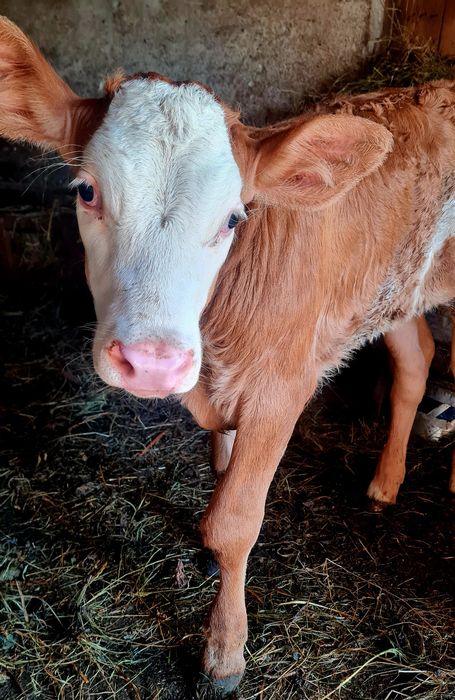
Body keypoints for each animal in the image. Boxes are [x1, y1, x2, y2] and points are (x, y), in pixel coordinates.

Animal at [0, 16, 454, 693]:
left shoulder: (280, 392)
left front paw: (224, 653)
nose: (152, 361)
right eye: (86, 191)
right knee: (416, 358)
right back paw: (384, 482)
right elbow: (219, 481)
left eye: (234, 218)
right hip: (390, 291)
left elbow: (234, 521)